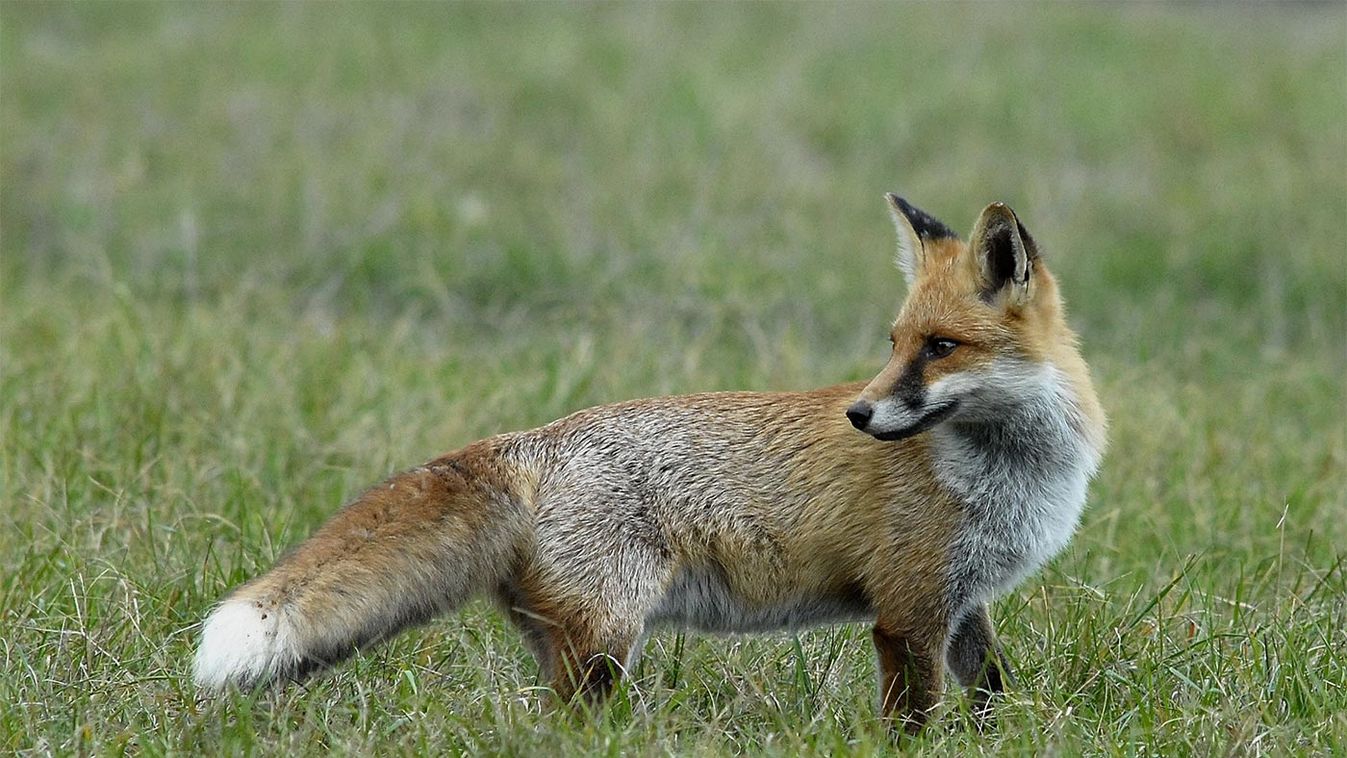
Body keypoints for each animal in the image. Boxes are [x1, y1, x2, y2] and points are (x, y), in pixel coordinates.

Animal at [195, 193, 1109, 727]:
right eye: (893, 344)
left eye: (940, 347)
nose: (858, 413)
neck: (1010, 477)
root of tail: (526, 440)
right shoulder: (907, 610)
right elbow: (913, 725)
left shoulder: (960, 600)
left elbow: (990, 696)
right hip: (607, 641)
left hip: (575, 643)